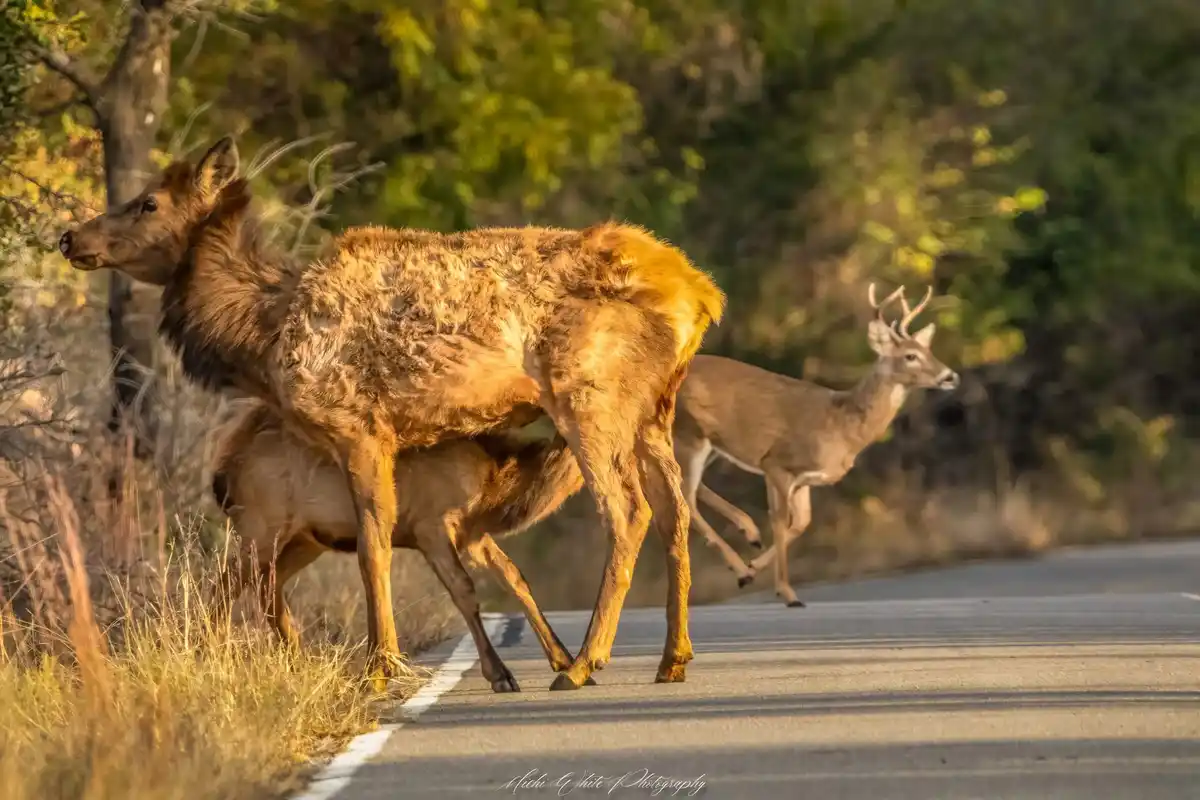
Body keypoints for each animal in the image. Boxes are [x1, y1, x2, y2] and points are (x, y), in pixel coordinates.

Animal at [210, 399, 586, 693]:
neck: (495, 485)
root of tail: (221, 471)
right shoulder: (431, 524)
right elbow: (464, 590)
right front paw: (501, 675)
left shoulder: (472, 534)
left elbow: (514, 576)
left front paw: (563, 660)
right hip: (261, 523)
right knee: (222, 582)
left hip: (306, 538)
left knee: (266, 583)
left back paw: (298, 660)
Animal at [673, 283, 960, 607]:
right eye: (910, 356)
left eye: (929, 350)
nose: (950, 376)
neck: (842, 425)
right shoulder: (777, 462)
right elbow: (781, 521)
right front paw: (786, 592)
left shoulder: (804, 479)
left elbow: (802, 523)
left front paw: (754, 566)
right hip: (689, 433)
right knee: (686, 497)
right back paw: (740, 565)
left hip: (707, 443)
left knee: (695, 489)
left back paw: (749, 536)